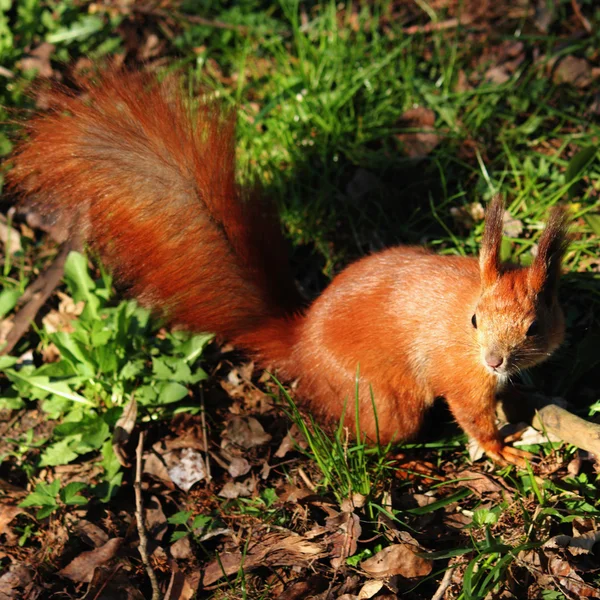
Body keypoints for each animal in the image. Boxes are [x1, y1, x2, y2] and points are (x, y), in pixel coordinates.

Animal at [5, 69, 572, 464]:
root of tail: (297, 346)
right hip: (383, 403)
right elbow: (474, 419)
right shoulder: (459, 376)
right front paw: (503, 449)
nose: (496, 361)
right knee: (363, 436)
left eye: (535, 327)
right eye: (475, 320)